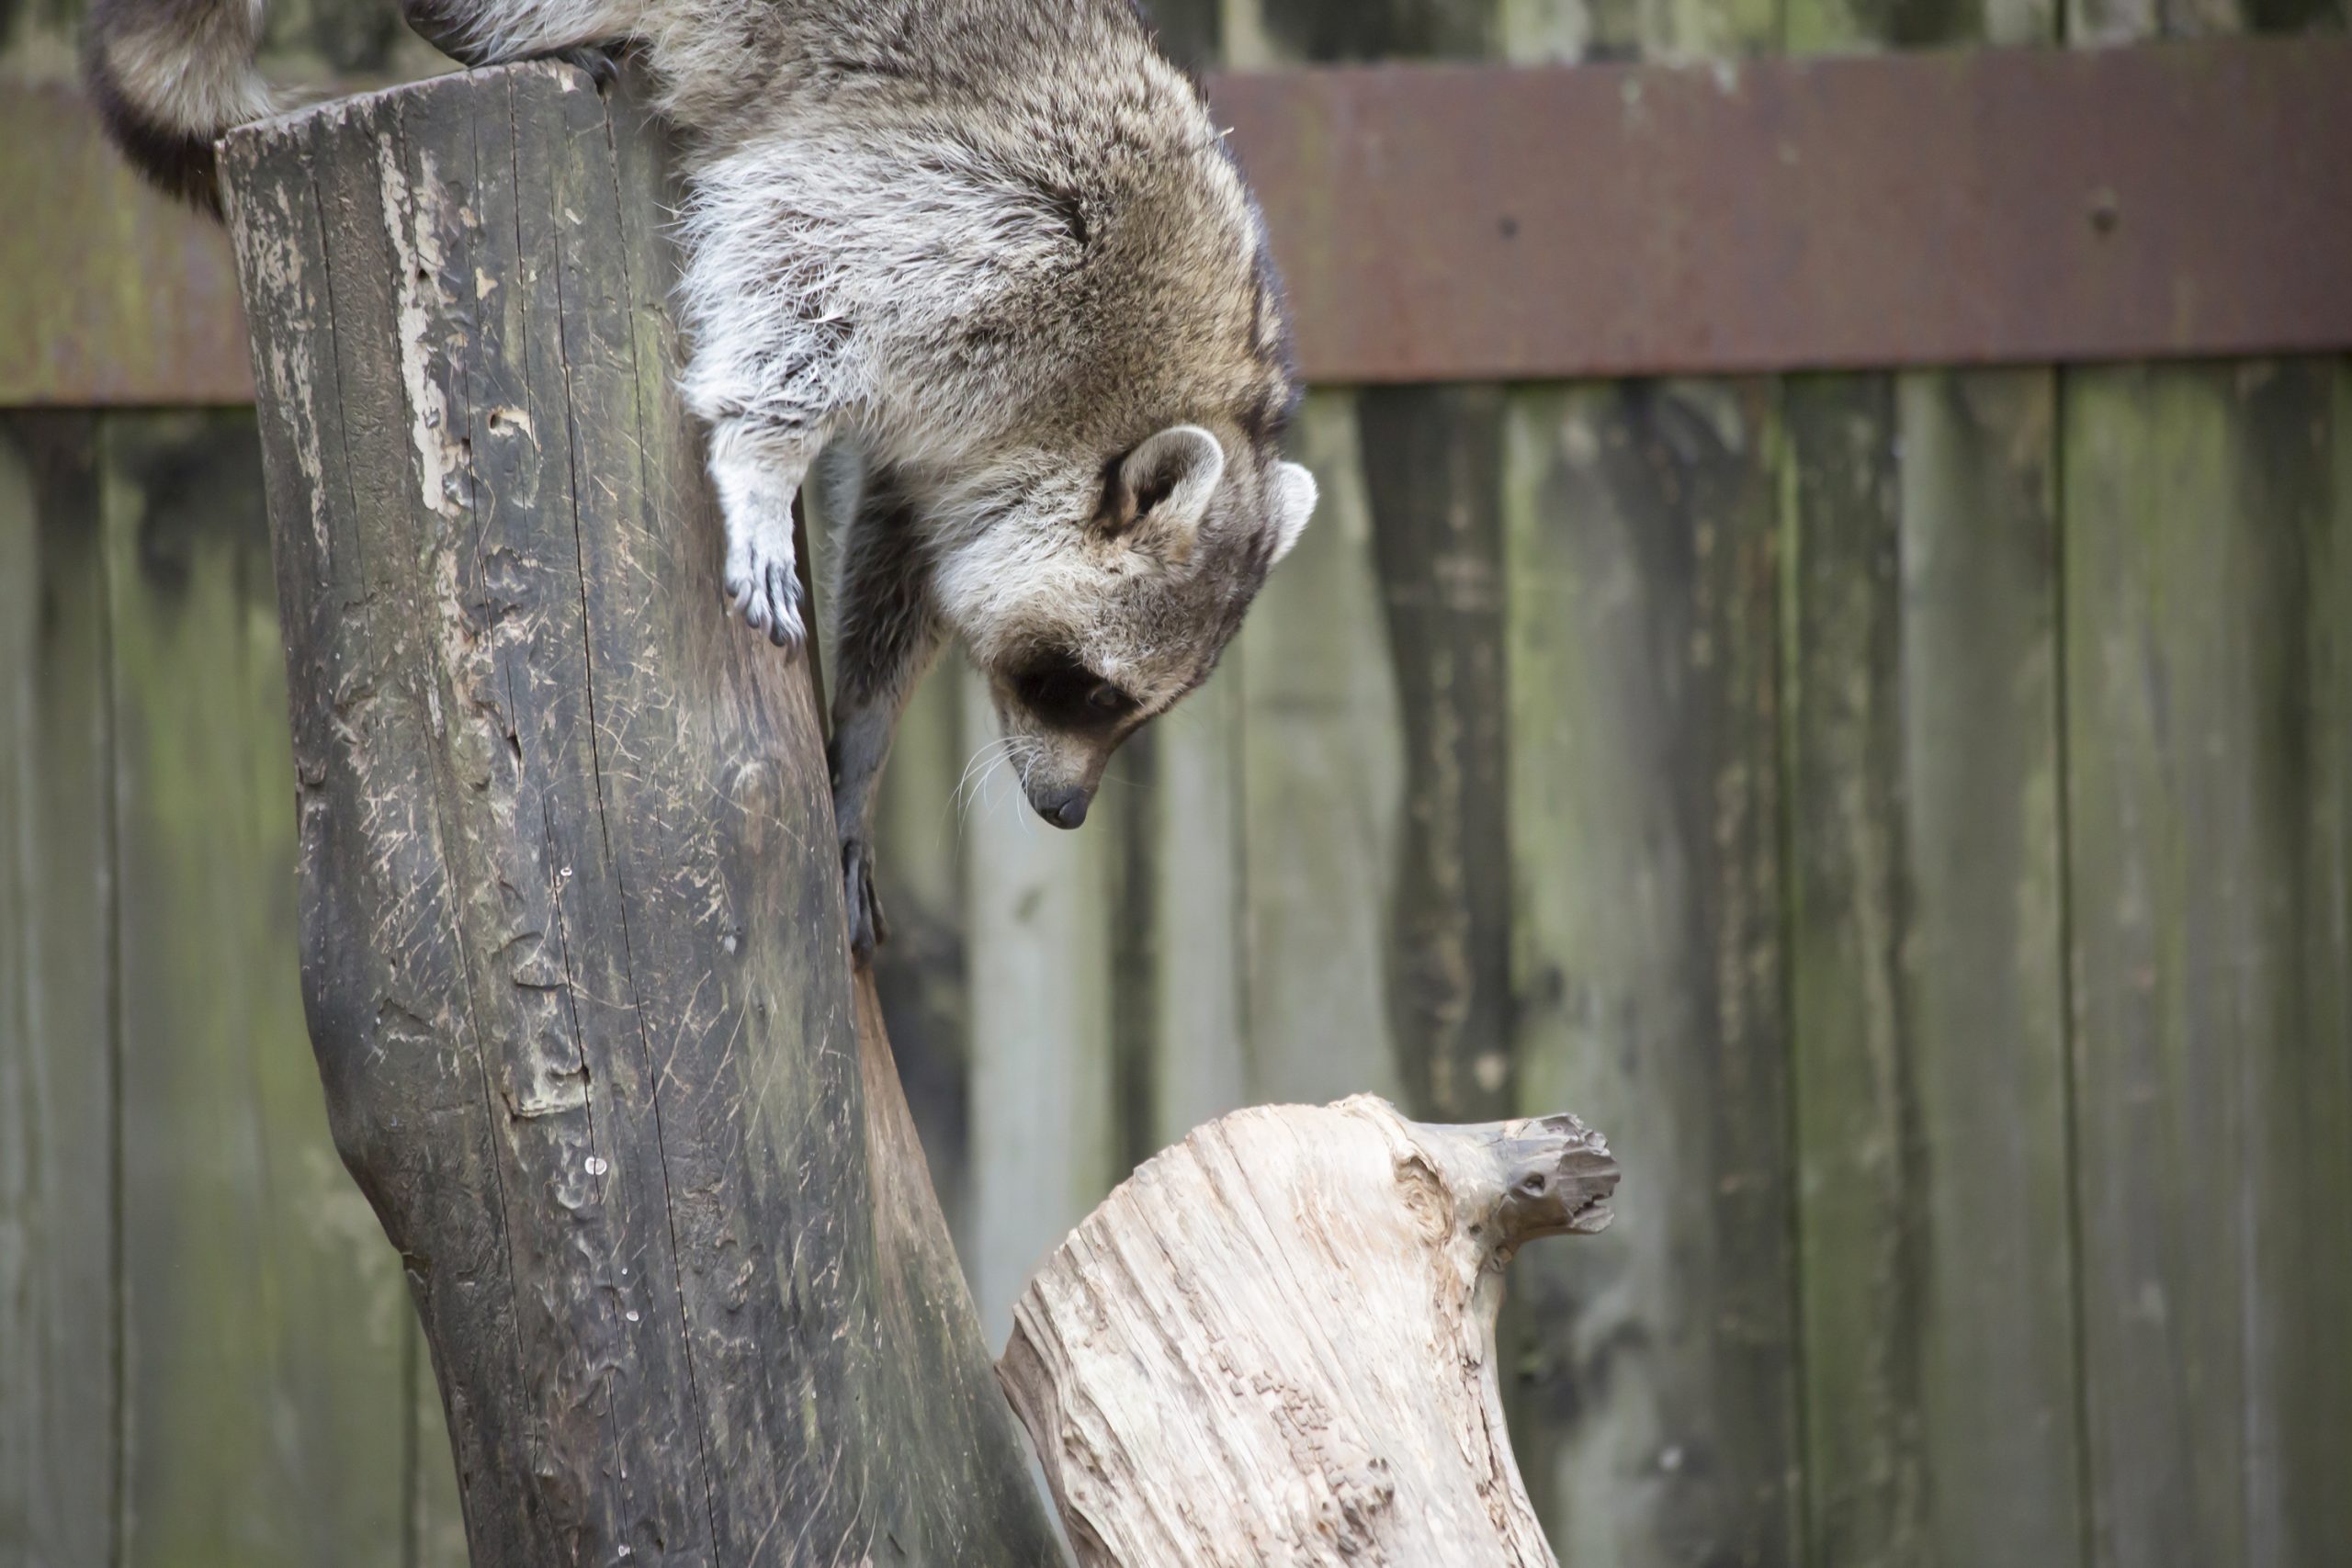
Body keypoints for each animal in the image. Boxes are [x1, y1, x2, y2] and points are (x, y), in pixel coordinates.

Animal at [86, 0, 1318, 958]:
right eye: (1089, 691)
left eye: (1125, 708)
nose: (1065, 812)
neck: (1124, 394)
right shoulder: (989, 228)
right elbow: (796, 273)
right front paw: (757, 465)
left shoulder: (968, 430)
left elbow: (902, 556)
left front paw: (861, 742)